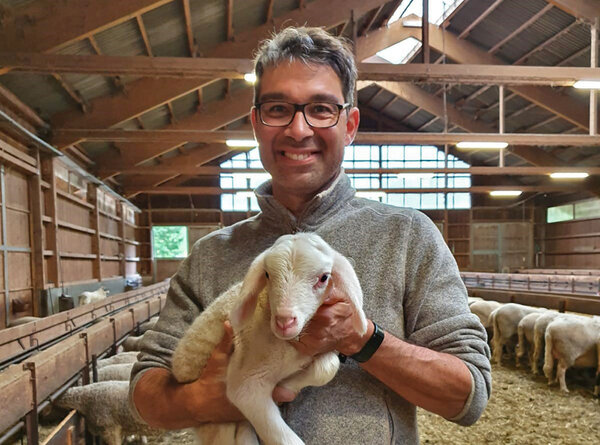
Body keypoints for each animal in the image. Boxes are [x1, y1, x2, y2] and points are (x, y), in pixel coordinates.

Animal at [171, 232, 368, 444]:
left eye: (324, 277)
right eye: (267, 275)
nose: (284, 321)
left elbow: (328, 366)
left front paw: (287, 387)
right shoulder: (245, 385)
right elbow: (286, 439)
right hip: (214, 422)